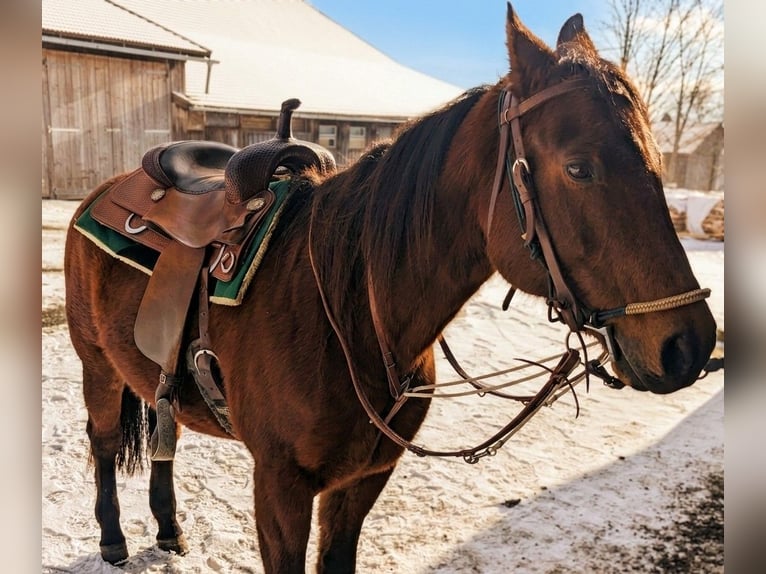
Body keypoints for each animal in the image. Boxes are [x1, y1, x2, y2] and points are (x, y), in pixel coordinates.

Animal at [63, 4, 716, 573]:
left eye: (658, 162)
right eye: (579, 167)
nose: (689, 345)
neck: (352, 314)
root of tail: (103, 192)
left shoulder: (363, 481)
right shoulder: (279, 486)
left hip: (154, 376)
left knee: (163, 430)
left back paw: (169, 529)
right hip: (97, 364)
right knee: (102, 443)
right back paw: (114, 539)